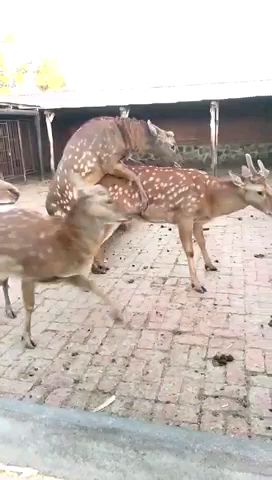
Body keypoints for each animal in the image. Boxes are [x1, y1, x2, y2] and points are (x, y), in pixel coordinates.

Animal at [0, 174, 129, 346]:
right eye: (108, 200)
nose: (128, 215)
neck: (64, 243)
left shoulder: (67, 275)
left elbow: (93, 286)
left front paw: (119, 314)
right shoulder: (28, 272)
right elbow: (29, 306)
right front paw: (27, 339)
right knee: (4, 282)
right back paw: (10, 311)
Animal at [45, 115, 181, 217]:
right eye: (172, 146)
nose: (179, 163)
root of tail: (49, 209)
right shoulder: (108, 162)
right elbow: (134, 175)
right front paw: (144, 203)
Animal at [92, 154, 272, 292]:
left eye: (270, 187)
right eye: (259, 192)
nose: (271, 210)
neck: (210, 199)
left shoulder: (198, 220)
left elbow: (202, 242)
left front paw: (210, 265)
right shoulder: (184, 215)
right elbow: (190, 251)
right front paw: (197, 285)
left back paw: (101, 266)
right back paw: (96, 269)